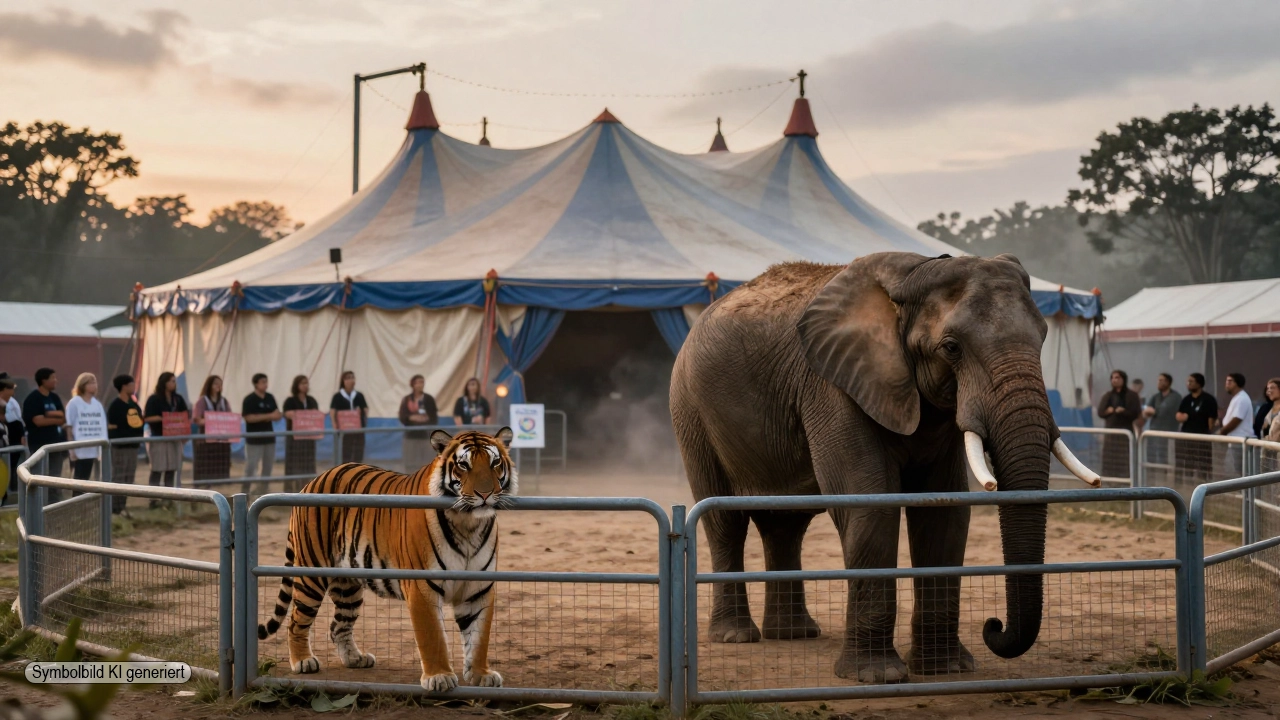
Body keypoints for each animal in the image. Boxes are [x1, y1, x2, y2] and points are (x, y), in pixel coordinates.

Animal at [257, 427, 516, 691]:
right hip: (312, 573)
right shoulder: (422, 587)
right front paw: (439, 677)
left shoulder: (478, 588)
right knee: (296, 621)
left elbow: (479, 637)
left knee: (338, 626)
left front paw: (481, 675)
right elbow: (433, 636)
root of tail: (311, 481)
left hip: (348, 585)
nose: (485, 494)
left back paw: (356, 658)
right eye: (464, 465)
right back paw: (303, 661)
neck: (468, 525)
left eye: (495, 463)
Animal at [670, 252, 1098, 684]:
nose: (993, 625)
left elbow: (945, 514)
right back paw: (735, 636)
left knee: (785, 526)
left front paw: (945, 670)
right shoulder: (833, 387)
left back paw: (794, 634)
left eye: (1043, 338)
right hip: (690, 412)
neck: (914, 274)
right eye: (951, 348)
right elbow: (871, 507)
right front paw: (878, 676)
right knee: (725, 523)